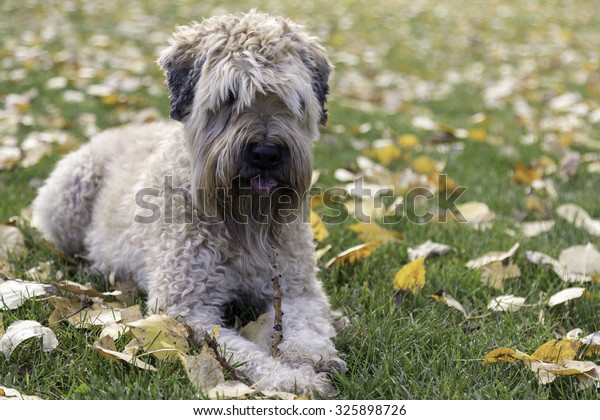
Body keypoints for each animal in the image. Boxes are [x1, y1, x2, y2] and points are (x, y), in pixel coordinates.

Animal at [29, 11, 346, 396]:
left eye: (292, 98)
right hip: (68, 196)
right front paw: (291, 380)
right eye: (230, 96)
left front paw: (309, 356)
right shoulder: (186, 308)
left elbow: (307, 325)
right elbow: (241, 352)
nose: (266, 153)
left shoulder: (297, 288)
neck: (239, 223)